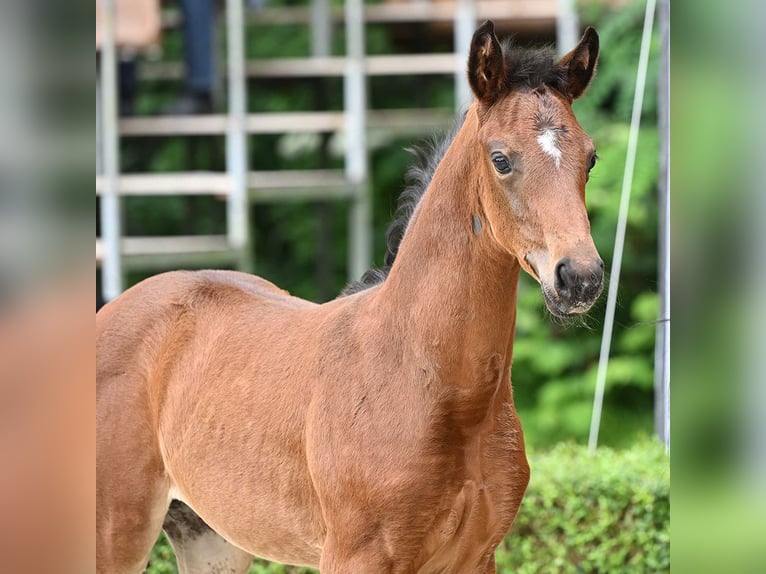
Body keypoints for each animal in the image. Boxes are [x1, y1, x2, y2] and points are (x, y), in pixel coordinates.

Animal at [97, 22, 608, 574]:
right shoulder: (354, 555)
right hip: (116, 531)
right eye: (501, 159)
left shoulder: (476, 558)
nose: (579, 277)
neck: (427, 378)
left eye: (591, 158)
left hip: (209, 537)